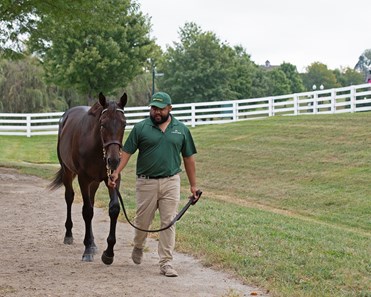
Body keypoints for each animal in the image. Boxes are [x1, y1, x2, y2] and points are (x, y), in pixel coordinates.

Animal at [49, 92, 128, 264]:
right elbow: (87, 211)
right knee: (70, 197)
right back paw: (69, 235)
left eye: (124, 124)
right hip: (68, 172)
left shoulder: (113, 178)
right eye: (102, 124)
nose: (114, 160)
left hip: (94, 182)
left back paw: (92, 243)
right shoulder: (83, 178)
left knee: (90, 201)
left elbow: (113, 209)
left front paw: (108, 253)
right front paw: (87, 250)